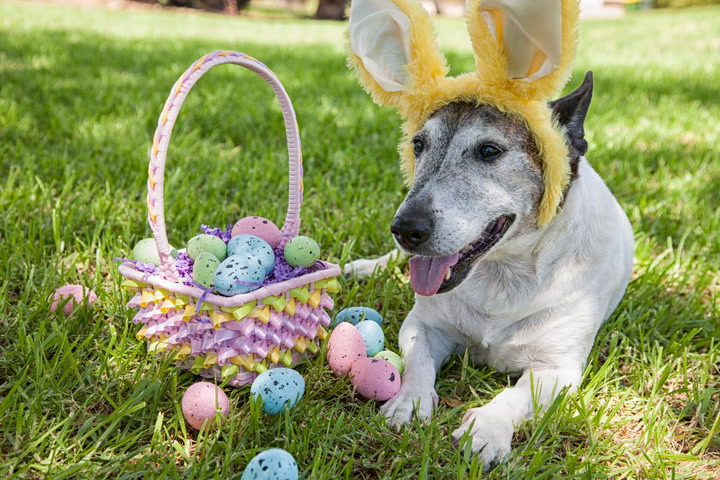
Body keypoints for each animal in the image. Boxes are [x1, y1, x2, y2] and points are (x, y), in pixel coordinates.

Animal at [346, 72, 632, 468]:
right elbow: (418, 362)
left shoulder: (557, 369)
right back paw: (365, 267)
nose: (404, 230)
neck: (503, 272)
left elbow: (514, 397)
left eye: (489, 151)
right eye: (418, 144)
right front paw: (408, 402)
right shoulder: (423, 325)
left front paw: (486, 430)